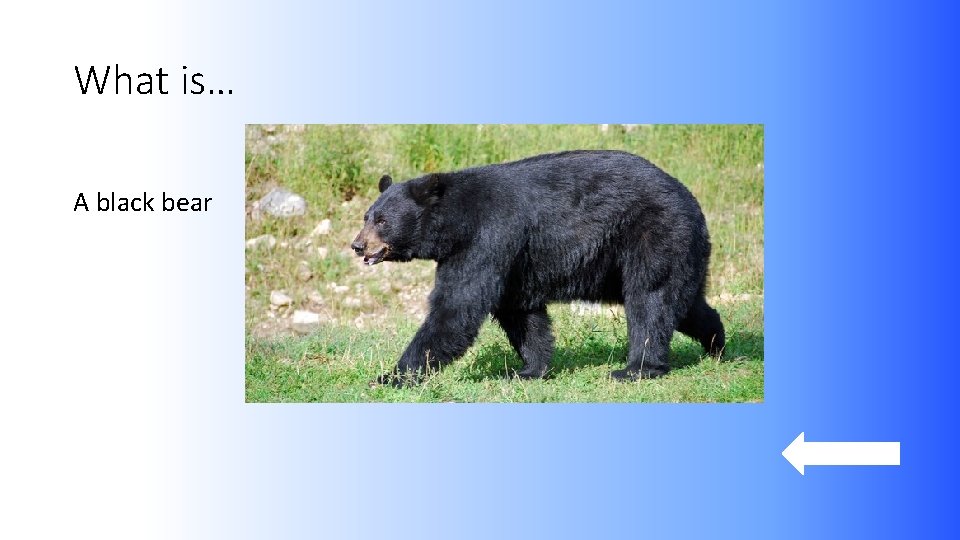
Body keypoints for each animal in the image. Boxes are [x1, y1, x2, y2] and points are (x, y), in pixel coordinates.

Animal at [350, 150, 725, 386]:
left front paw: (389, 377)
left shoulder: (488, 238)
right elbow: (521, 314)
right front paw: (529, 369)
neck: (456, 224)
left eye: (382, 220)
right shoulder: (512, 261)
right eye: (367, 216)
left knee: (650, 298)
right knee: (683, 302)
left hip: (653, 233)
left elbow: (456, 309)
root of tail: (691, 200)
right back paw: (716, 343)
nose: (358, 246)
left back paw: (636, 369)